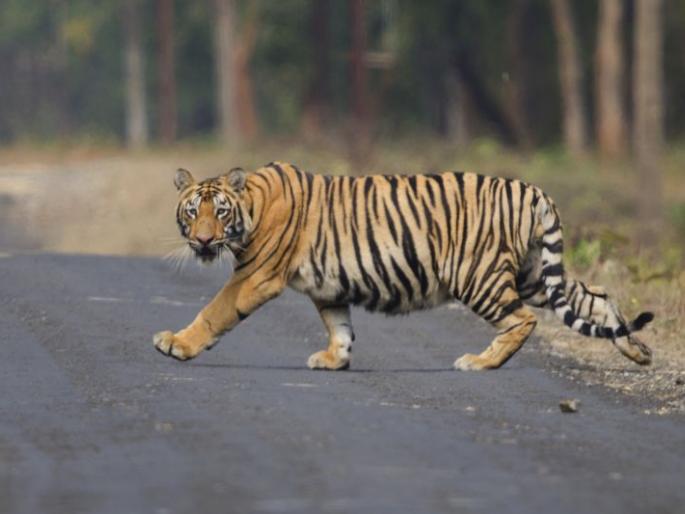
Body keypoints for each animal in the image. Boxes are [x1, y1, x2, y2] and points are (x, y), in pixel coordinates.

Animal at [153, 162, 654, 371]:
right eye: (192, 212)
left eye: (219, 213)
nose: (202, 240)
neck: (252, 205)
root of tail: (532, 190)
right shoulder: (328, 287)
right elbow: (338, 325)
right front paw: (335, 359)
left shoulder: (255, 277)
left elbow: (215, 311)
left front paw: (175, 343)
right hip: (532, 273)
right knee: (596, 298)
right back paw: (638, 350)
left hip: (479, 276)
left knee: (522, 320)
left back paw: (479, 362)